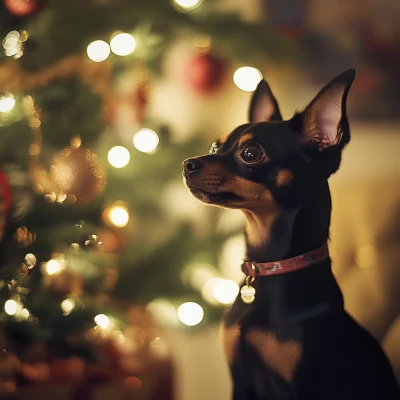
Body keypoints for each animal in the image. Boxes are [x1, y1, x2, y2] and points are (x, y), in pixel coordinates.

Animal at [182, 69, 400, 400]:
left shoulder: (301, 387)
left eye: (250, 153)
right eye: (214, 147)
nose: (187, 163)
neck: (270, 267)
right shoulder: (240, 384)